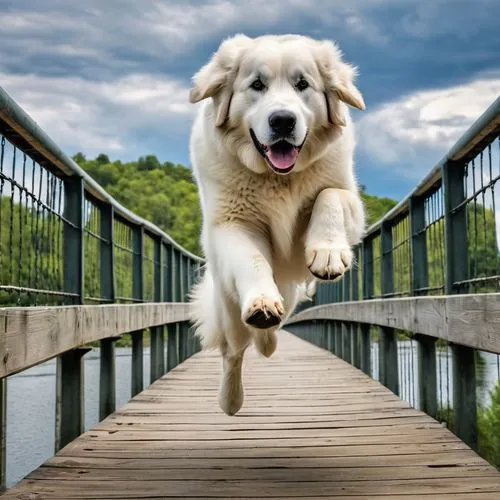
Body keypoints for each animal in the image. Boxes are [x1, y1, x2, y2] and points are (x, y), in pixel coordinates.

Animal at [187, 35, 364, 416]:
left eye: (302, 85)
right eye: (257, 85)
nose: (283, 120)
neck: (278, 179)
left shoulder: (349, 197)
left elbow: (329, 196)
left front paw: (328, 253)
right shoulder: (233, 223)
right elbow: (252, 260)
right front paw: (262, 302)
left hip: (293, 292)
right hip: (229, 313)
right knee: (234, 352)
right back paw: (231, 399)